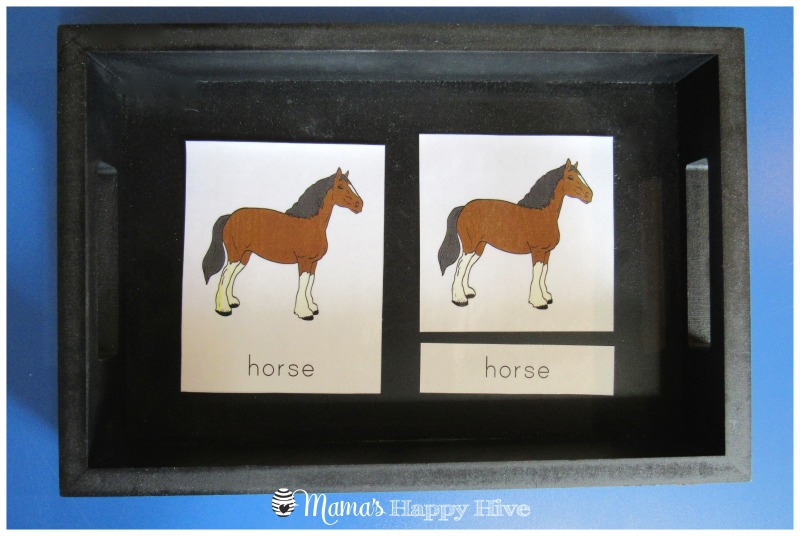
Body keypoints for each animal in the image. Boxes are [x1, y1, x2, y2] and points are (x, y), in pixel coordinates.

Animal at [202, 167, 363, 320]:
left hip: (244, 256)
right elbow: (303, 284)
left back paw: (232, 301)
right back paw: (223, 308)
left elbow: (310, 283)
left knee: (232, 276)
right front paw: (304, 312)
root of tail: (230, 216)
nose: (359, 204)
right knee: (225, 275)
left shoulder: (313, 262)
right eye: (340, 186)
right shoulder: (304, 261)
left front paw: (312, 307)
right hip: (235, 254)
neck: (310, 224)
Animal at [437, 159, 593, 310]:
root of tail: (464, 207)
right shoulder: (537, 251)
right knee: (460, 266)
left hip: (479, 247)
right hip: (470, 246)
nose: (589, 195)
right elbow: (537, 274)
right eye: (570, 177)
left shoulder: (547, 252)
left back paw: (468, 292)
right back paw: (459, 299)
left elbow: (543, 273)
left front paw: (546, 296)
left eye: (580, 175)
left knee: (467, 267)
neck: (542, 215)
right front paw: (538, 301)